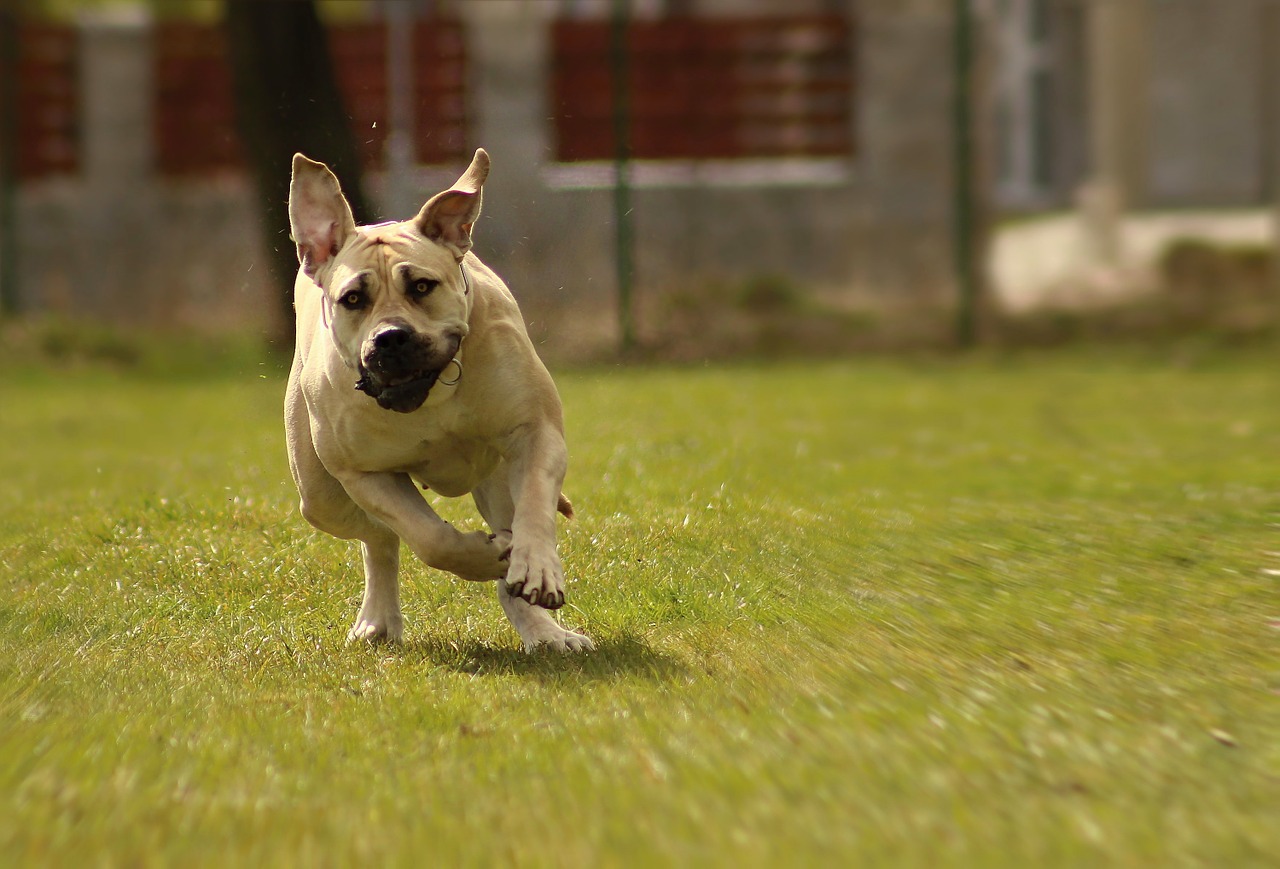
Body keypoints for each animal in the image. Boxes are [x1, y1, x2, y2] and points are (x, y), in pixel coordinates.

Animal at [282, 149, 591, 652]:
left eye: (422, 287)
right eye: (353, 299)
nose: (390, 337)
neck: (430, 393)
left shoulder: (536, 433)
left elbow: (534, 507)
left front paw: (536, 569)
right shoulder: (362, 473)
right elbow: (430, 538)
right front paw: (480, 557)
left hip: (496, 478)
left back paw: (546, 633)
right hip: (319, 497)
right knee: (379, 536)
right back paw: (378, 618)